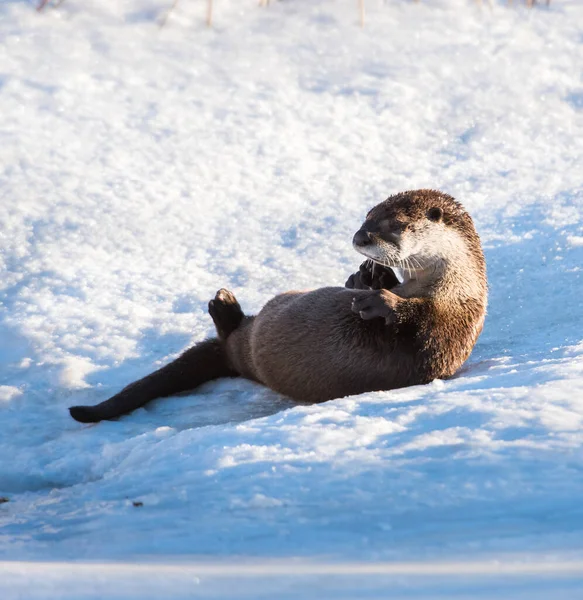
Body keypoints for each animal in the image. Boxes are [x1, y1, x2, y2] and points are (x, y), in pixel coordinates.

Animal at [68, 188, 488, 422]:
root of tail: (232, 353)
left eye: (394, 224)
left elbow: (421, 329)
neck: (452, 286)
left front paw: (379, 302)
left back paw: (223, 306)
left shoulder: (450, 323)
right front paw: (366, 278)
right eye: (367, 216)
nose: (359, 238)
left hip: (246, 346)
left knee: (230, 331)